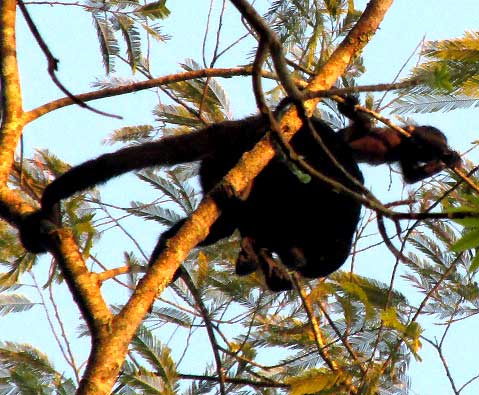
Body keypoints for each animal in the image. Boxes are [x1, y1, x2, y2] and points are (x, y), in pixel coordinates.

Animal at [18, 99, 462, 290]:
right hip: (234, 158)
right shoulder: (315, 202)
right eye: (308, 258)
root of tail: (238, 131)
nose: (292, 262)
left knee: (214, 227)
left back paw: (174, 246)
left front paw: (261, 263)